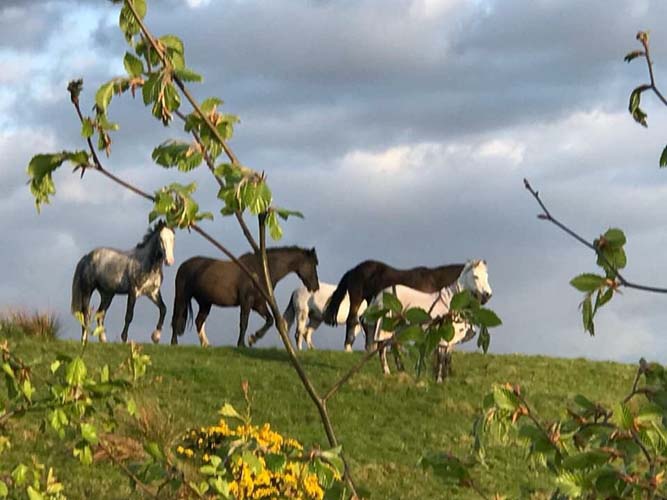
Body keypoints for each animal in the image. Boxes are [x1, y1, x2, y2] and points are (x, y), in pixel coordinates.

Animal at [171, 246, 320, 348]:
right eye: (313, 265)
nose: (316, 287)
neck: (260, 270)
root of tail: (184, 265)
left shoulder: (258, 304)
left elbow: (270, 320)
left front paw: (253, 338)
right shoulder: (247, 302)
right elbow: (244, 322)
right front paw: (241, 343)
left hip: (205, 303)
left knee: (199, 321)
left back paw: (206, 344)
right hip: (181, 298)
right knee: (176, 319)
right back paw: (174, 343)